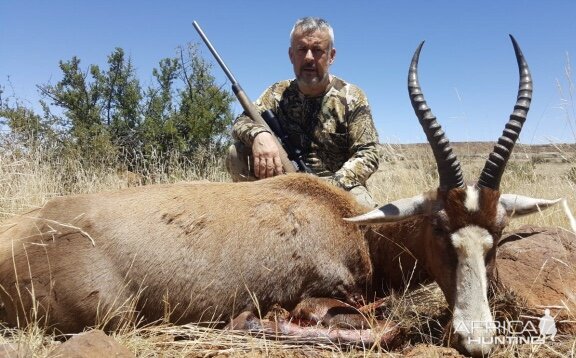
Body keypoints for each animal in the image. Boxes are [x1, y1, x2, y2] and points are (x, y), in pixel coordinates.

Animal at [0, 35, 564, 356]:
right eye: (440, 228)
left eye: (496, 235)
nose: (476, 338)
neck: (347, 222)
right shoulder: (318, 298)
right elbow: (384, 328)